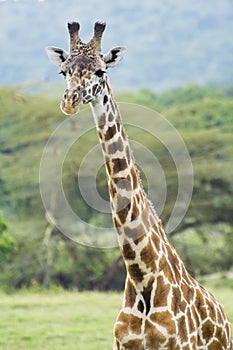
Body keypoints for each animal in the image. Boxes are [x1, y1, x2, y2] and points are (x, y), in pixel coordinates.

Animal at [46, 21, 233, 348]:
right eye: (63, 71)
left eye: (100, 71)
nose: (70, 102)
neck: (141, 276)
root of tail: (225, 320)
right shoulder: (120, 344)